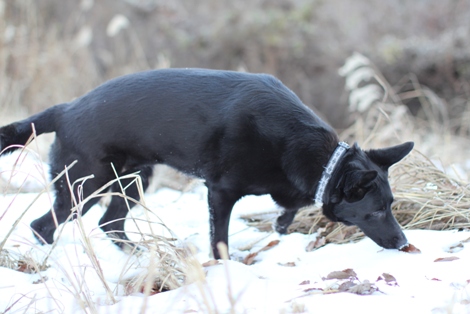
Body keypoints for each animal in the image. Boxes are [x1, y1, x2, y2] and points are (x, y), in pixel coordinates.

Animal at [0, 68, 412, 258]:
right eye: (377, 212)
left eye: (391, 206)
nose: (404, 242)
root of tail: (64, 110)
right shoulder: (220, 193)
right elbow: (220, 239)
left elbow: (289, 209)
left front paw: (281, 225)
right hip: (85, 185)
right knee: (43, 226)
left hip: (135, 179)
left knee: (110, 223)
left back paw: (140, 254)